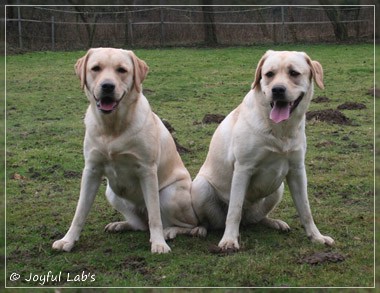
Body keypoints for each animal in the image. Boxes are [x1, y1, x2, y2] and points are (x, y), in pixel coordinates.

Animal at [52, 46, 205, 252]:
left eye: (122, 70)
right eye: (96, 68)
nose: (107, 86)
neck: (112, 128)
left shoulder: (147, 170)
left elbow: (155, 217)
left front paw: (159, 243)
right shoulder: (91, 170)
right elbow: (80, 212)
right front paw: (67, 240)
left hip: (167, 194)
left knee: (186, 224)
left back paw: (170, 231)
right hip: (111, 192)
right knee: (140, 224)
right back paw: (120, 225)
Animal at [191, 50, 334, 251]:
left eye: (294, 73)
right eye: (269, 74)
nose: (277, 90)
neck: (280, 130)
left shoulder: (297, 170)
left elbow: (306, 209)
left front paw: (316, 236)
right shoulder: (243, 169)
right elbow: (234, 210)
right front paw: (229, 240)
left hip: (278, 188)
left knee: (256, 219)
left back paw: (274, 222)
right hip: (200, 187)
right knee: (213, 220)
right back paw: (200, 229)